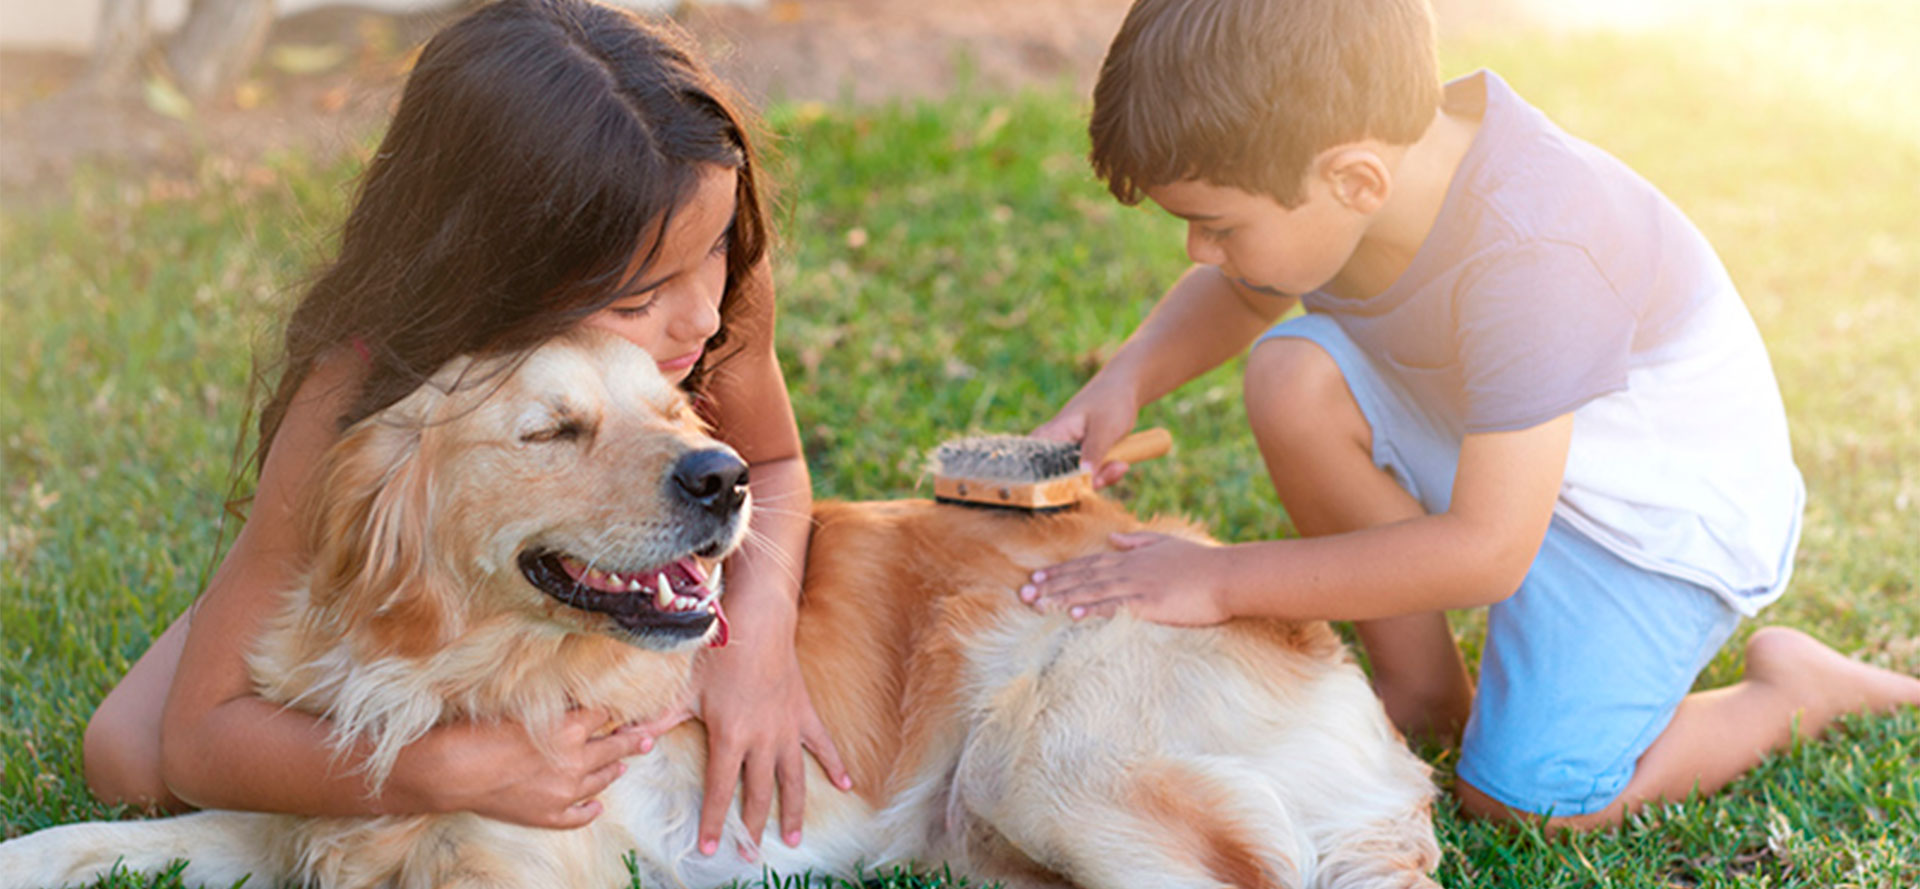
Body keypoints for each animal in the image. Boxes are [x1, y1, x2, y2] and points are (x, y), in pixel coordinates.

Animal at [0, 330, 1443, 887]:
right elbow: (83, 839)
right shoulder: (291, 812)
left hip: (1048, 750)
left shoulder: (543, 861)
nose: (726, 475)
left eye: (676, 409)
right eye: (554, 429)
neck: (457, 673)